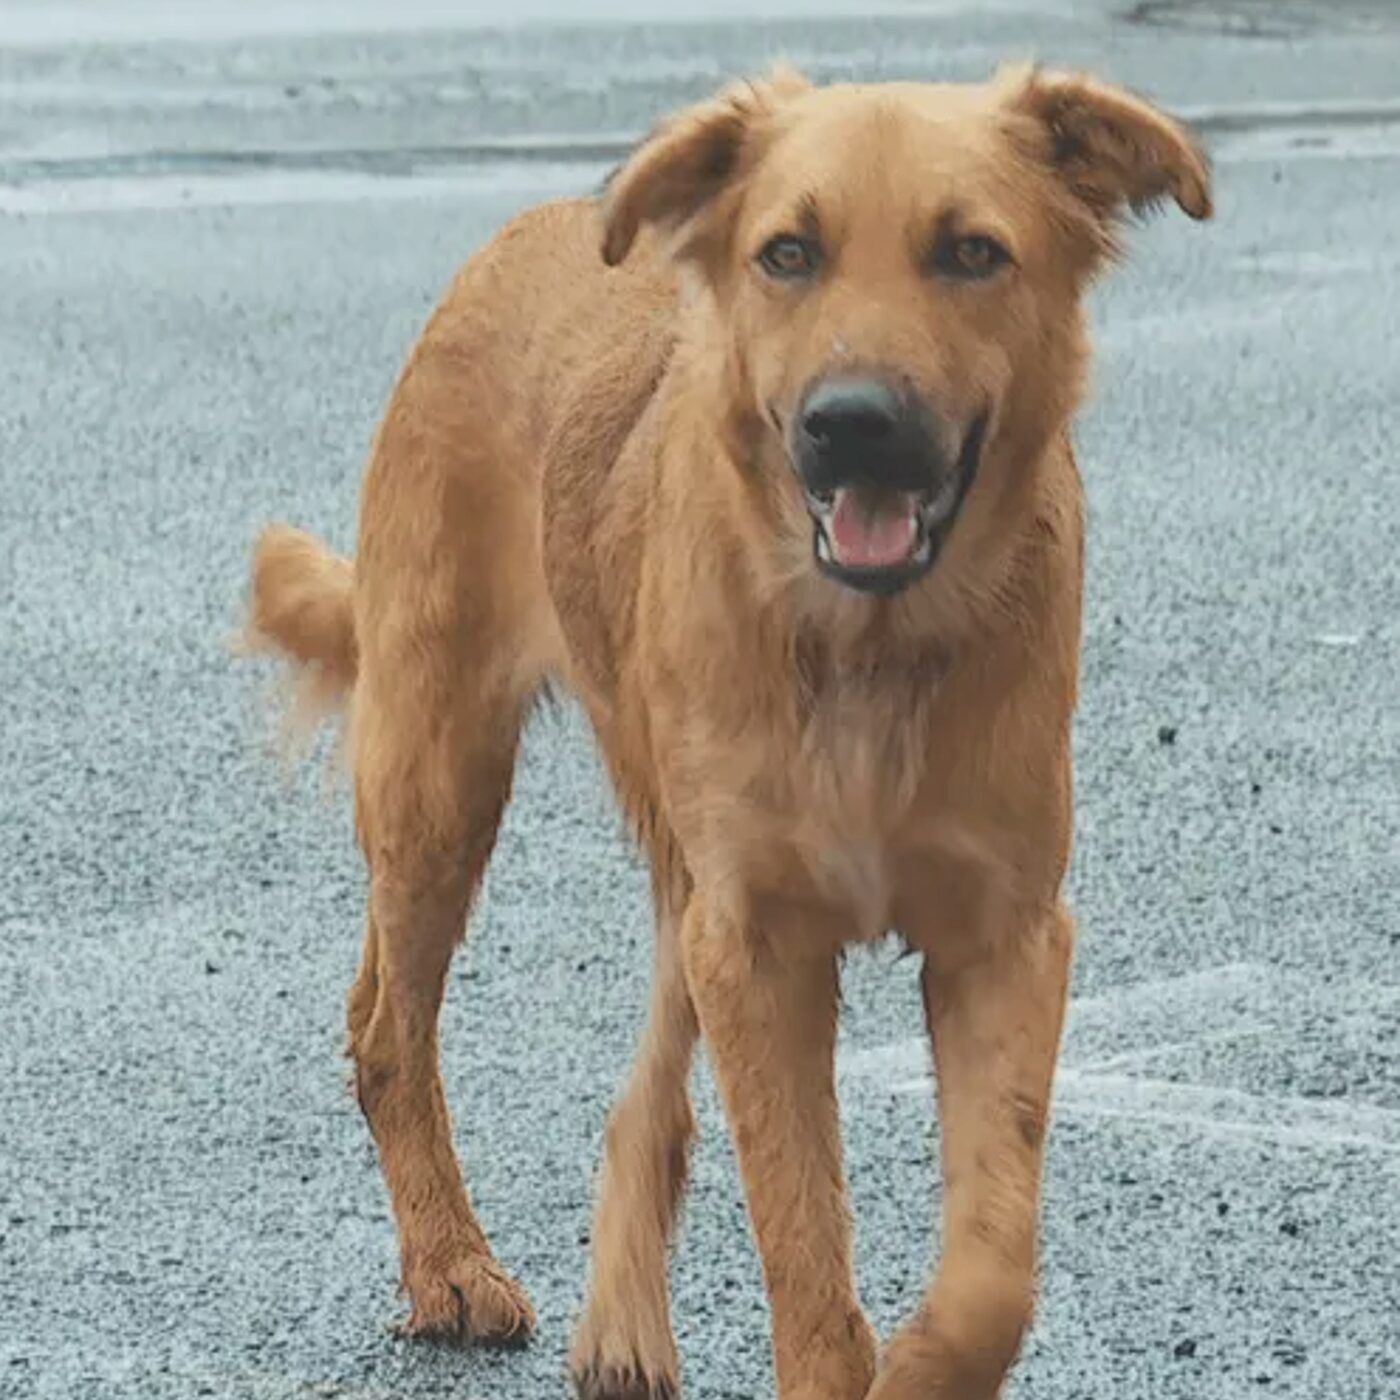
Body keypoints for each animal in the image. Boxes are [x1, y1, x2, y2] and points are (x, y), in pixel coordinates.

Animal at [241, 63, 1210, 1400]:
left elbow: (990, 1271)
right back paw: (449, 1264)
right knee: (385, 1030)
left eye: (971, 251)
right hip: (443, 779)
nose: (850, 424)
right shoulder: (756, 943)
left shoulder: (1002, 934)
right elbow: (804, 1252)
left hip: (670, 868)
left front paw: (920, 1363)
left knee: (641, 1090)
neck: (865, 648)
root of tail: (528, 227)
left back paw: (619, 1320)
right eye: (787, 252)